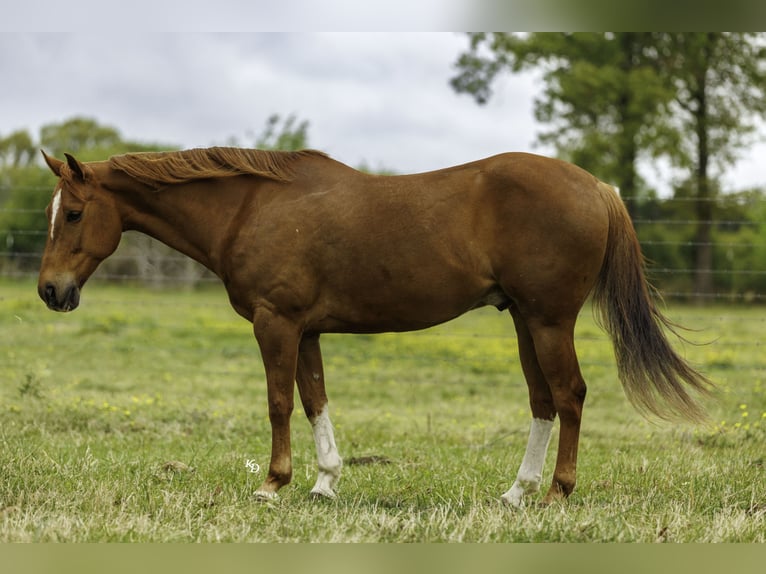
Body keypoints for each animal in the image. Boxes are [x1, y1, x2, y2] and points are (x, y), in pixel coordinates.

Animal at [37, 147, 712, 506]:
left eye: (74, 214)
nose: (50, 290)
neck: (251, 208)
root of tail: (598, 186)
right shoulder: (305, 330)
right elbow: (315, 400)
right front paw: (324, 484)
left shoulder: (276, 324)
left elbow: (279, 402)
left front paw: (273, 485)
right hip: (525, 321)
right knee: (543, 401)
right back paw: (517, 493)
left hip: (548, 321)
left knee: (569, 396)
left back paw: (556, 494)